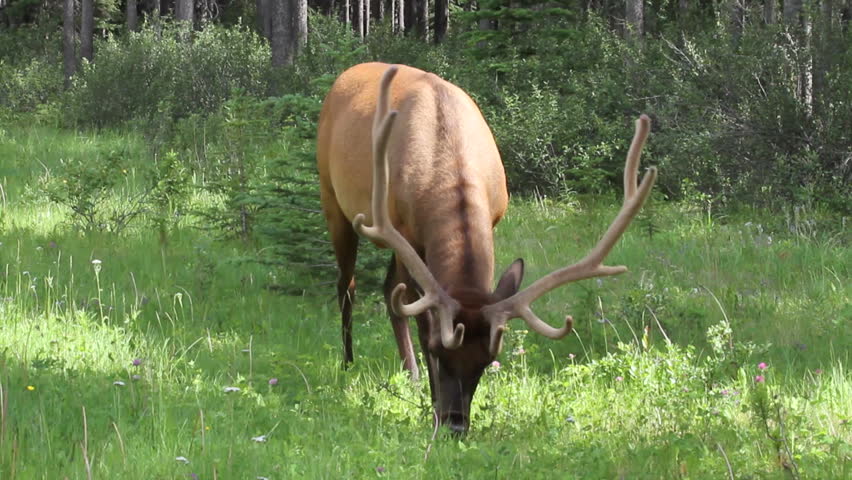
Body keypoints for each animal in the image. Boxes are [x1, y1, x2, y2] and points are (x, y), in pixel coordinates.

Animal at [317, 63, 656, 434]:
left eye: (486, 361)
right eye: (438, 352)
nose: (454, 424)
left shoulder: (493, 217)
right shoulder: (401, 229)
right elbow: (421, 318)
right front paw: (430, 405)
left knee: (389, 289)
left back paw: (411, 375)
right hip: (333, 199)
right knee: (348, 286)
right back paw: (349, 363)